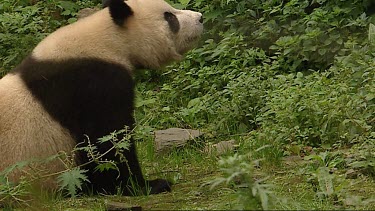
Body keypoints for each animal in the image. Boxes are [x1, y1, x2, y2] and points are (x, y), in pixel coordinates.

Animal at [0, 0, 203, 195]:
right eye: (169, 17)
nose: (200, 18)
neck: (110, 38)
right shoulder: (93, 85)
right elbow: (107, 140)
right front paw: (145, 186)